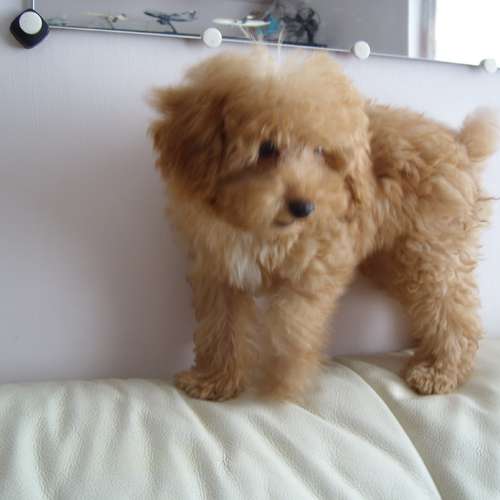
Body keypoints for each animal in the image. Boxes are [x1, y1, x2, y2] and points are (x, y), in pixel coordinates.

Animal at [150, 49, 498, 401]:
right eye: (266, 148)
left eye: (320, 151)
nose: (304, 207)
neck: (259, 225)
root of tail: (461, 144)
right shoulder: (219, 269)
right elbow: (221, 326)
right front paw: (214, 380)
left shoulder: (314, 269)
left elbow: (292, 326)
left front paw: (283, 385)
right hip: (397, 261)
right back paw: (427, 358)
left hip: (430, 251)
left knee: (451, 309)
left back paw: (441, 371)